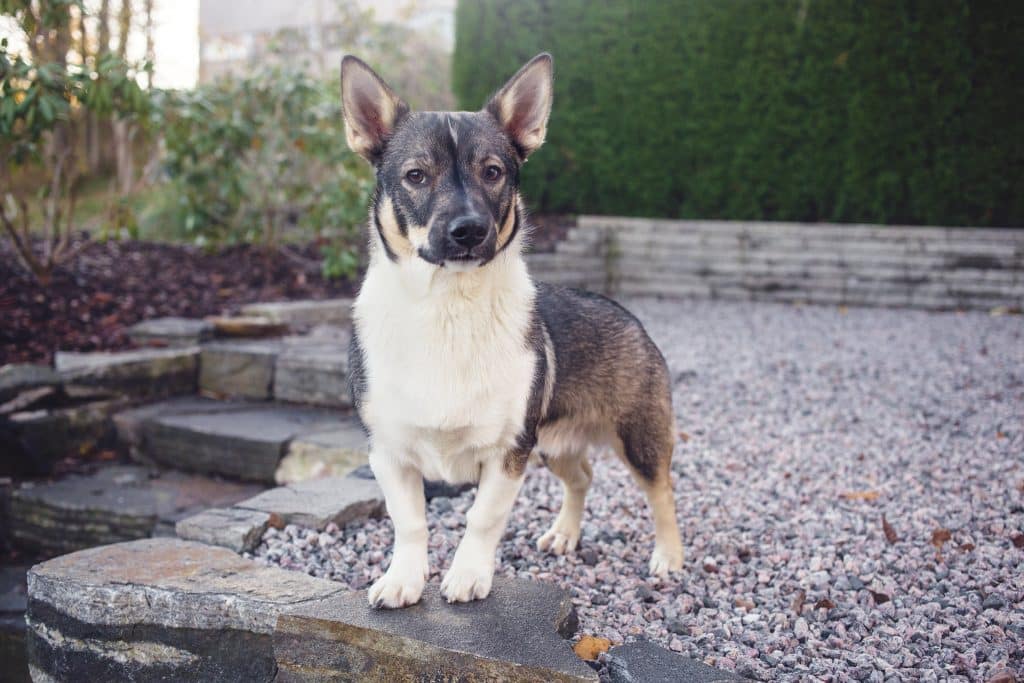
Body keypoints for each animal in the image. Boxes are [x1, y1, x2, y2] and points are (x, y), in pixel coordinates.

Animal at [339, 54, 684, 610]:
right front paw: (404, 579)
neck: (448, 308)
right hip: (554, 445)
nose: (468, 230)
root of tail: (628, 315)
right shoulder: (388, 452)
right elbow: (409, 522)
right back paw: (565, 533)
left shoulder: (508, 453)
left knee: (662, 492)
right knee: (582, 477)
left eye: (493, 172)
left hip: (637, 439)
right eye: (416, 175)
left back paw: (669, 556)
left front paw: (468, 575)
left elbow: (482, 518)